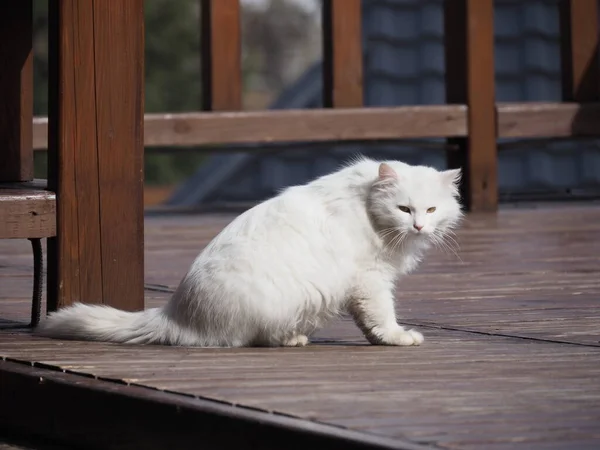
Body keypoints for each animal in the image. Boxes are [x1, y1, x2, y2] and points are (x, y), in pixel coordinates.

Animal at [36, 158, 464, 348]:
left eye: (430, 210)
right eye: (404, 209)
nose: (419, 227)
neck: (367, 204)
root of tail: (174, 312)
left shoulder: (366, 283)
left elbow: (368, 322)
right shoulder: (370, 280)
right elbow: (381, 316)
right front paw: (397, 337)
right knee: (256, 337)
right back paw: (293, 340)